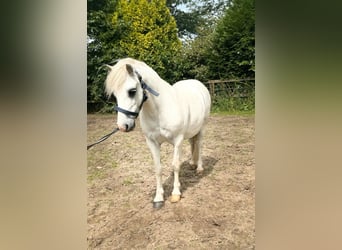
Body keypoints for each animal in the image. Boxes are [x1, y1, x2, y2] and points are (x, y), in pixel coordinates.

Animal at [105, 57, 211, 208]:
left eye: (132, 91)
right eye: (115, 94)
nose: (122, 126)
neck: (160, 109)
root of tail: (197, 84)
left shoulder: (177, 141)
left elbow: (175, 166)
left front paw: (176, 194)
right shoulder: (152, 142)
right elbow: (158, 168)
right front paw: (158, 198)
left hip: (202, 127)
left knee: (199, 145)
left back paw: (199, 168)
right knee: (193, 142)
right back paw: (192, 163)